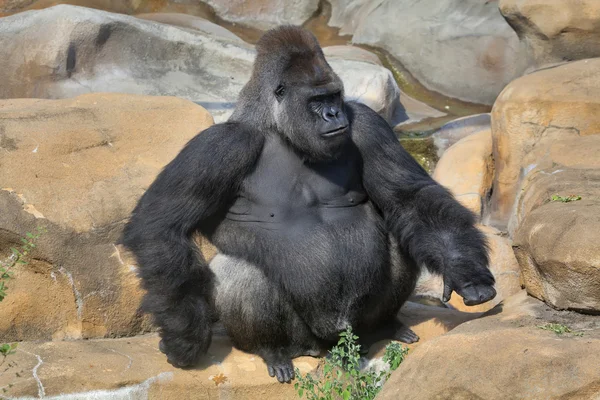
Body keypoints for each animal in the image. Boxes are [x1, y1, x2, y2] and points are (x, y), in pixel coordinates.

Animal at [119, 25, 494, 384]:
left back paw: (382, 325)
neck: (281, 130)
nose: (333, 113)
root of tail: (327, 344)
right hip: (302, 337)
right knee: (242, 270)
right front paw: (185, 336)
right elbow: (160, 227)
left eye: (335, 95)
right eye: (317, 99)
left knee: (396, 238)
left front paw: (466, 270)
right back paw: (270, 350)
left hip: (350, 329)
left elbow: (410, 199)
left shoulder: (367, 123)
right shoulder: (220, 145)